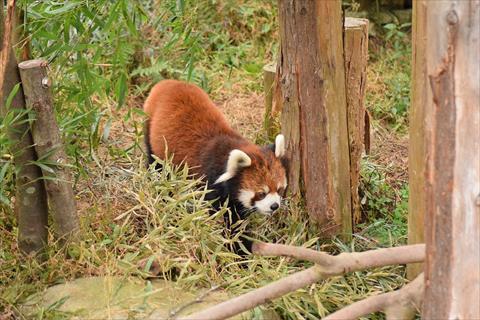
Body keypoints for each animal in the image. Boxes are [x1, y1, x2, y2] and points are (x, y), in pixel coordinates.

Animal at [144, 79, 286, 252]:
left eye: (279, 189)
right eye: (261, 193)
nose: (274, 206)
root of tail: (169, 82)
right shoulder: (209, 184)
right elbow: (227, 221)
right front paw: (239, 247)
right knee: (155, 163)